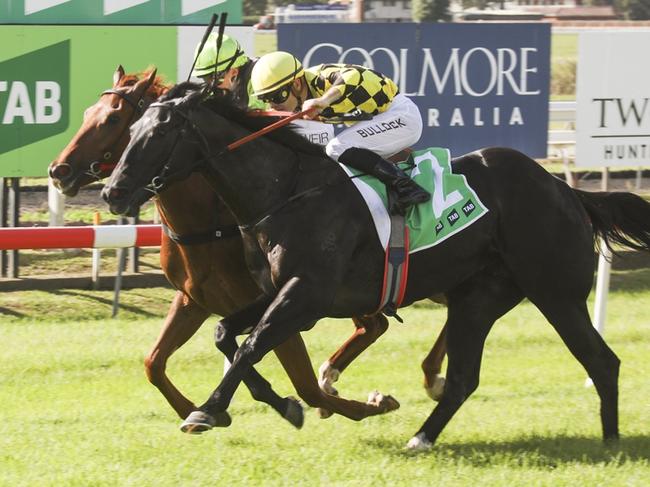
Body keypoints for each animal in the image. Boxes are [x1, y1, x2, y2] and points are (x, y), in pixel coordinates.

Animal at [49, 67, 446, 424]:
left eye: (114, 119)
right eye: (91, 114)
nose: (59, 171)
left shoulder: (290, 301)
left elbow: (300, 385)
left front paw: (367, 404)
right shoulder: (195, 300)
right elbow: (155, 363)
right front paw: (201, 409)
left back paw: (430, 379)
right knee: (377, 325)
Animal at [101, 83, 648, 450]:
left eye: (157, 135)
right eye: (130, 132)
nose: (111, 193)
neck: (286, 190)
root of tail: (564, 189)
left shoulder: (306, 296)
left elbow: (253, 344)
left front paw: (208, 411)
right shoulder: (277, 290)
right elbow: (226, 335)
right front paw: (284, 405)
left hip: (555, 291)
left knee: (602, 361)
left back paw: (611, 443)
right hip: (478, 297)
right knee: (464, 379)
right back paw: (421, 438)